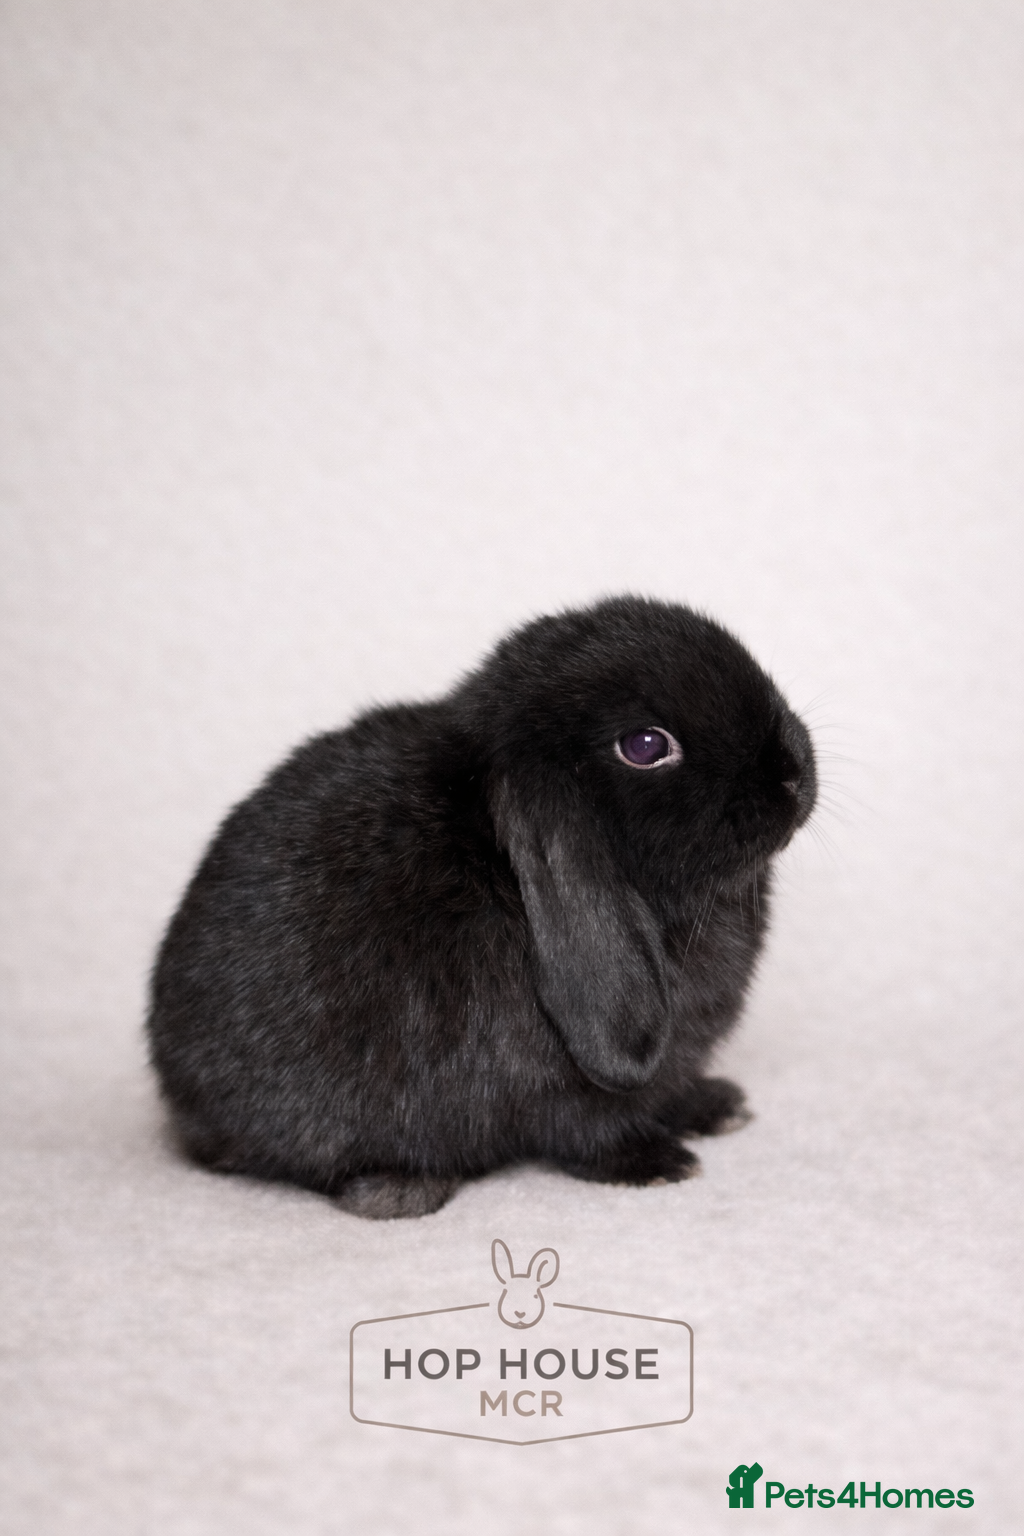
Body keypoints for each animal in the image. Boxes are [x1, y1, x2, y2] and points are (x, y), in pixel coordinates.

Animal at [147, 596, 816, 1219]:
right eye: (647, 745)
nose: (792, 773)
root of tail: (178, 1094)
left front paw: (715, 1106)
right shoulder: (558, 1093)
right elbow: (588, 1132)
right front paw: (657, 1163)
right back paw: (398, 1189)